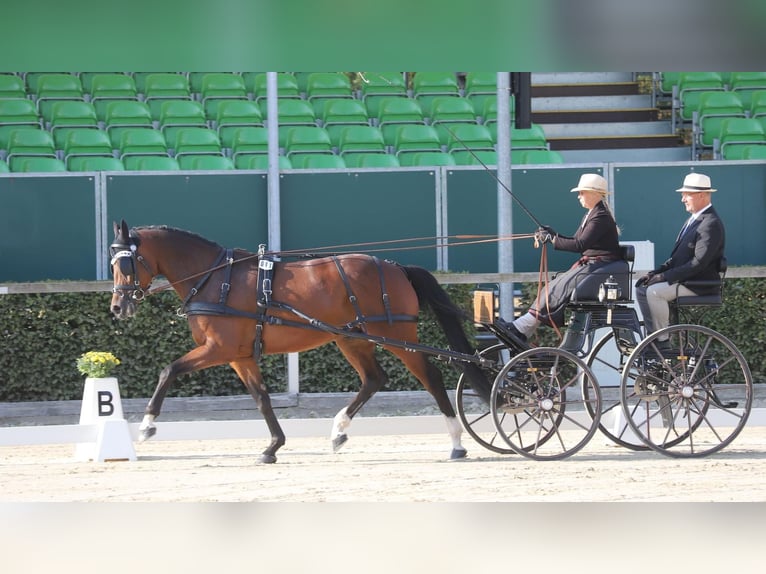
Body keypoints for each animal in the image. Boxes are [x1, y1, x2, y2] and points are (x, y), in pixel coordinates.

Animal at [108, 220, 492, 464]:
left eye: (125, 263)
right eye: (112, 262)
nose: (117, 307)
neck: (215, 279)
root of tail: (395, 266)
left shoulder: (218, 349)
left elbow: (167, 371)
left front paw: (146, 427)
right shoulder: (239, 357)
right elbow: (262, 399)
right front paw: (272, 447)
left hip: (397, 337)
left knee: (431, 377)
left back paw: (456, 442)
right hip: (352, 339)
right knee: (373, 379)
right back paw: (338, 432)